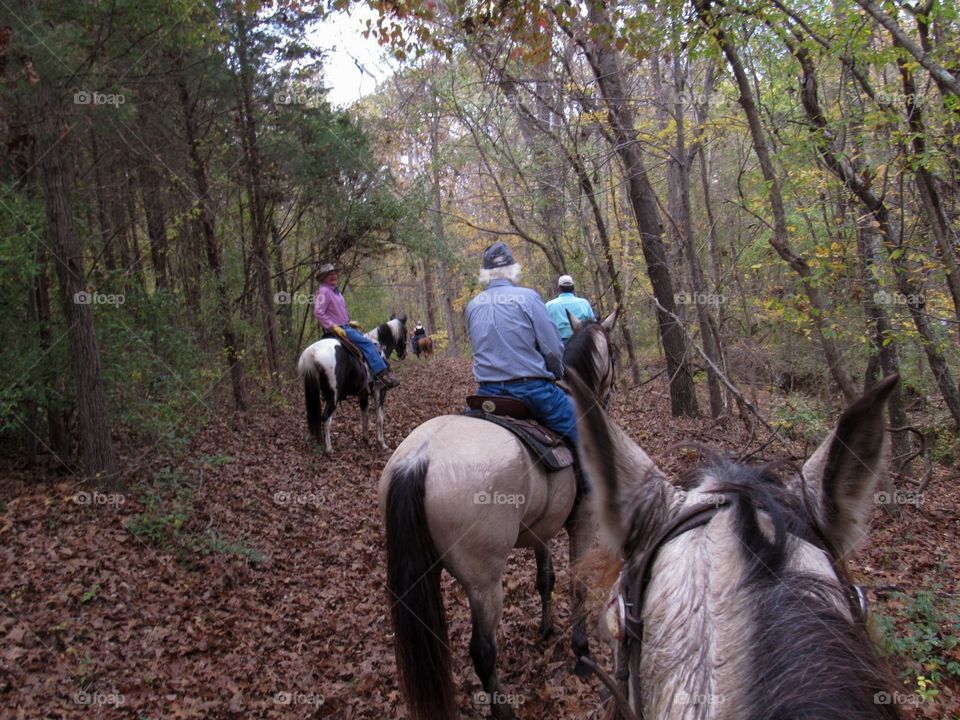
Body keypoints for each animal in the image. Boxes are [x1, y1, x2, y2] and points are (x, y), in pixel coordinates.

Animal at [298, 314, 406, 450]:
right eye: (406, 331)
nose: (404, 354)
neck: (380, 346)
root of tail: (312, 352)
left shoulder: (363, 394)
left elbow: (364, 416)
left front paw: (366, 439)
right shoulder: (379, 390)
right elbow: (379, 417)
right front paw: (382, 443)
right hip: (333, 397)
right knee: (326, 418)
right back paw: (329, 448)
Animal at [376, 314, 616, 720]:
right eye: (613, 351)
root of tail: (421, 457)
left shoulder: (542, 530)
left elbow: (546, 579)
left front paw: (547, 630)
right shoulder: (582, 523)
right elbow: (578, 584)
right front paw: (582, 654)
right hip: (484, 581)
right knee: (483, 650)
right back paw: (503, 709)